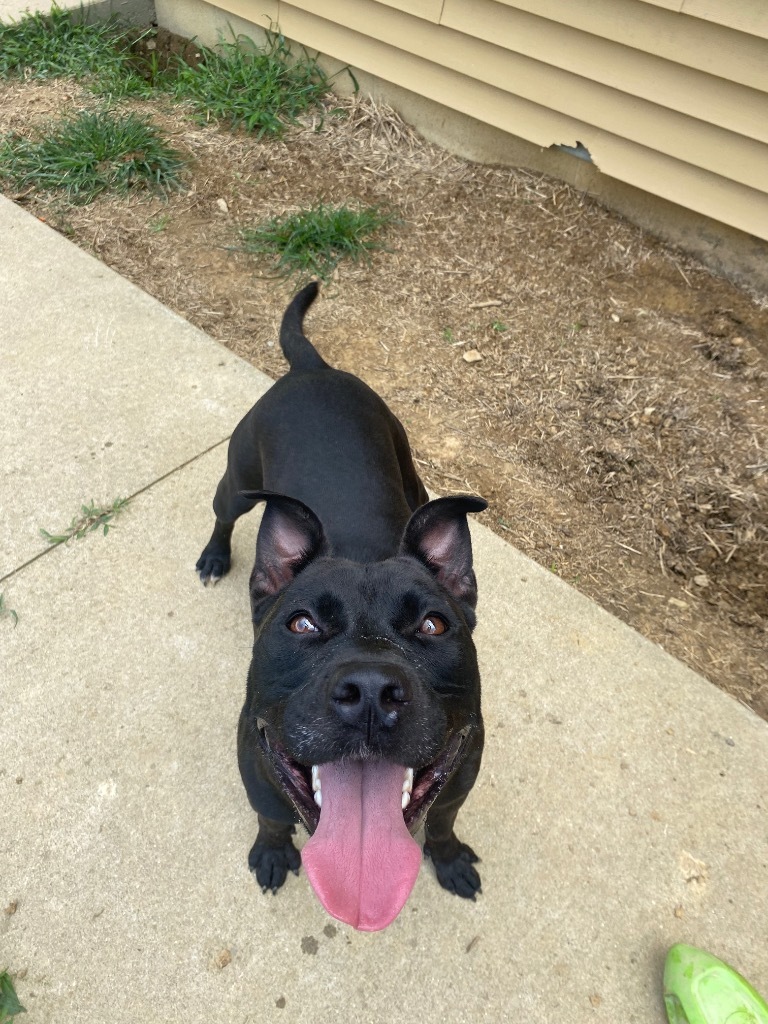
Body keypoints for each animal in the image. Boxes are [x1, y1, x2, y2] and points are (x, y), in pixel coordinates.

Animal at [198, 284, 487, 933]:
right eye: (302, 623)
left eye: (434, 624)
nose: (372, 690)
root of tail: (314, 371)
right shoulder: (256, 770)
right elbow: (271, 816)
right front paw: (272, 851)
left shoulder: (462, 774)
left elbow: (445, 821)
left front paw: (449, 857)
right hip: (236, 482)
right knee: (224, 513)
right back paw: (213, 554)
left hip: (413, 475)